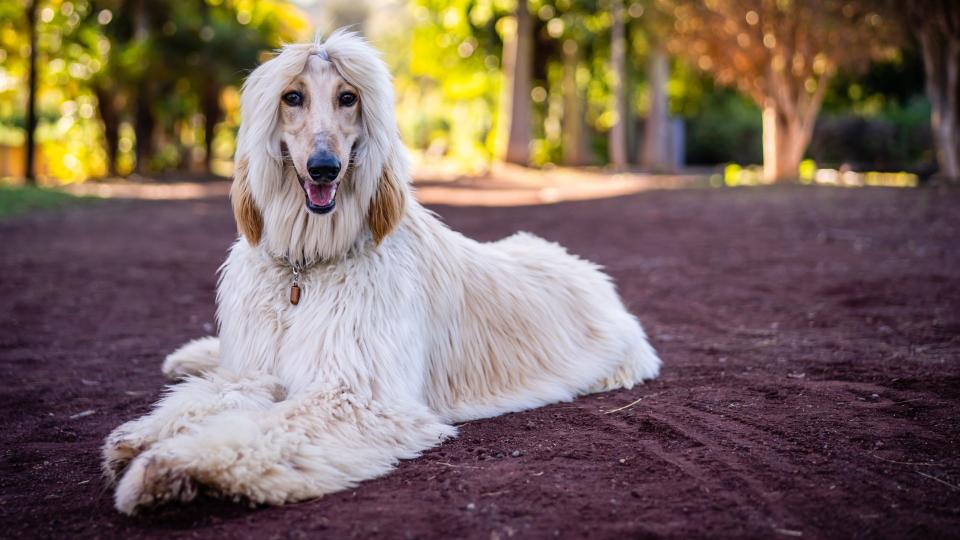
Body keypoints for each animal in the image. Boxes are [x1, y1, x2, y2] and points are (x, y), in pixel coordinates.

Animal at [105, 30, 660, 516]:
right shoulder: (258, 367)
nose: (324, 167)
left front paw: (168, 466)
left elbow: (263, 428)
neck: (306, 267)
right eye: (292, 97)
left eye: (348, 97)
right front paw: (143, 435)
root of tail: (589, 272)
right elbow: (215, 393)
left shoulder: (356, 396)